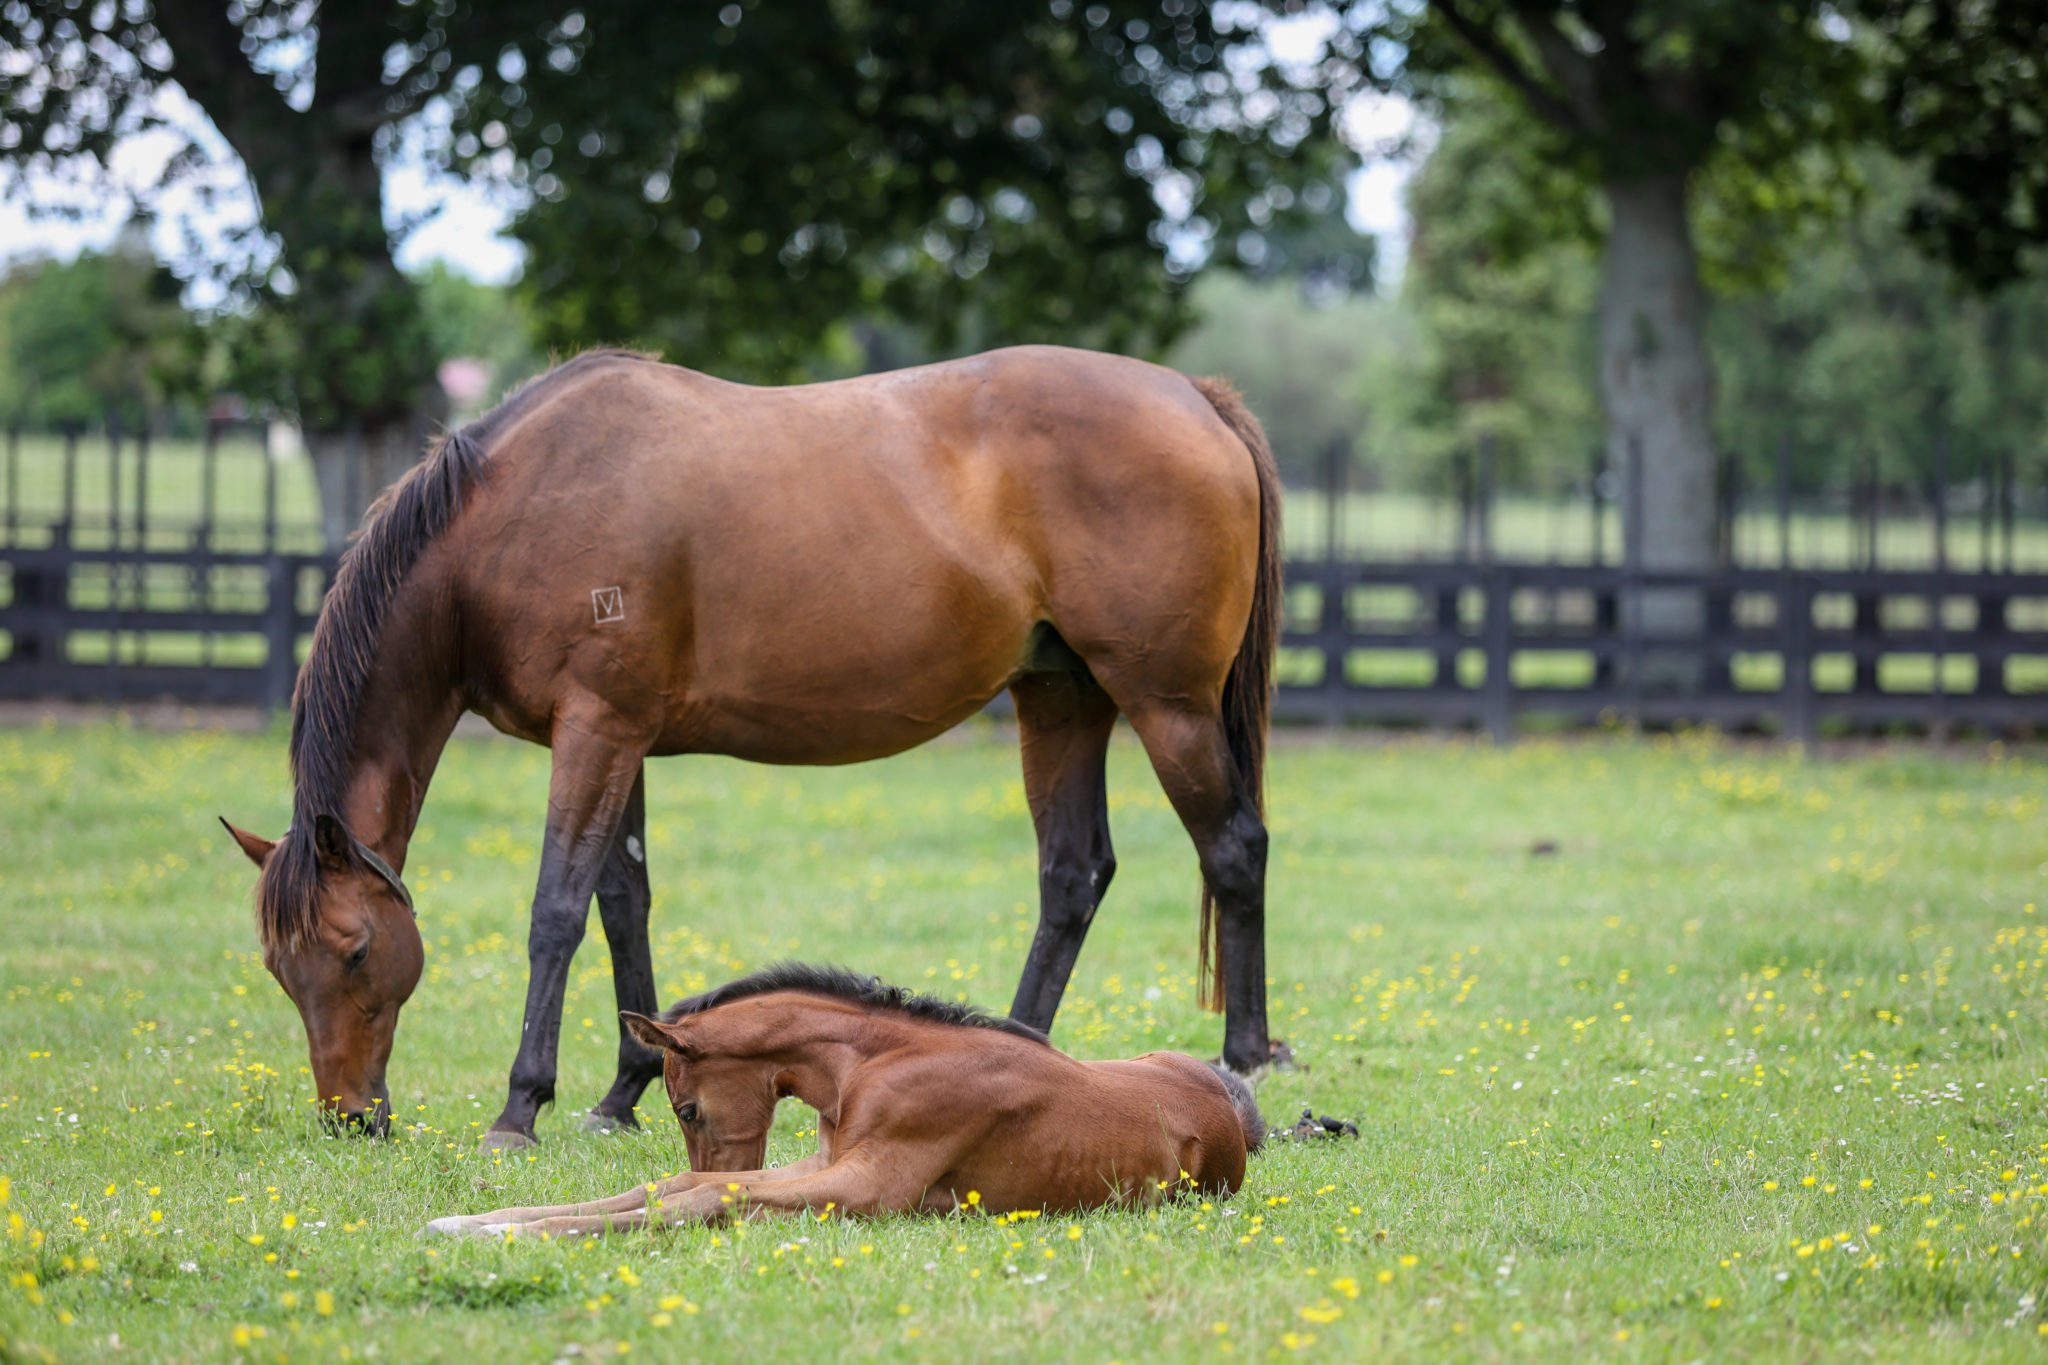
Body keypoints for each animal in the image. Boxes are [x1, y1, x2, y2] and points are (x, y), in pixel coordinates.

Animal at [224, 347, 1277, 1146]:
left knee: (1233, 849)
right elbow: (625, 903)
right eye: (280, 968)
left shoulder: (596, 729)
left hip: (1166, 704)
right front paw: (622, 1092)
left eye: (357, 951)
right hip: (1061, 698)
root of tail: (1197, 397)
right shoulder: (620, 735)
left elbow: (557, 910)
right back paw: (1021, 1047)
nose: (350, 1117)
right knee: (1072, 873)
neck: (514, 513)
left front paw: (521, 1108)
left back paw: (1248, 1056)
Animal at [419, 965, 1261, 1244]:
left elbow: (706, 1193)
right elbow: (671, 1184)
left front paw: (502, 1233)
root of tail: (1229, 1111)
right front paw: (475, 1221)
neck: (876, 1063)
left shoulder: (869, 1185)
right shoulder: (823, 1157)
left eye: (685, 1108)